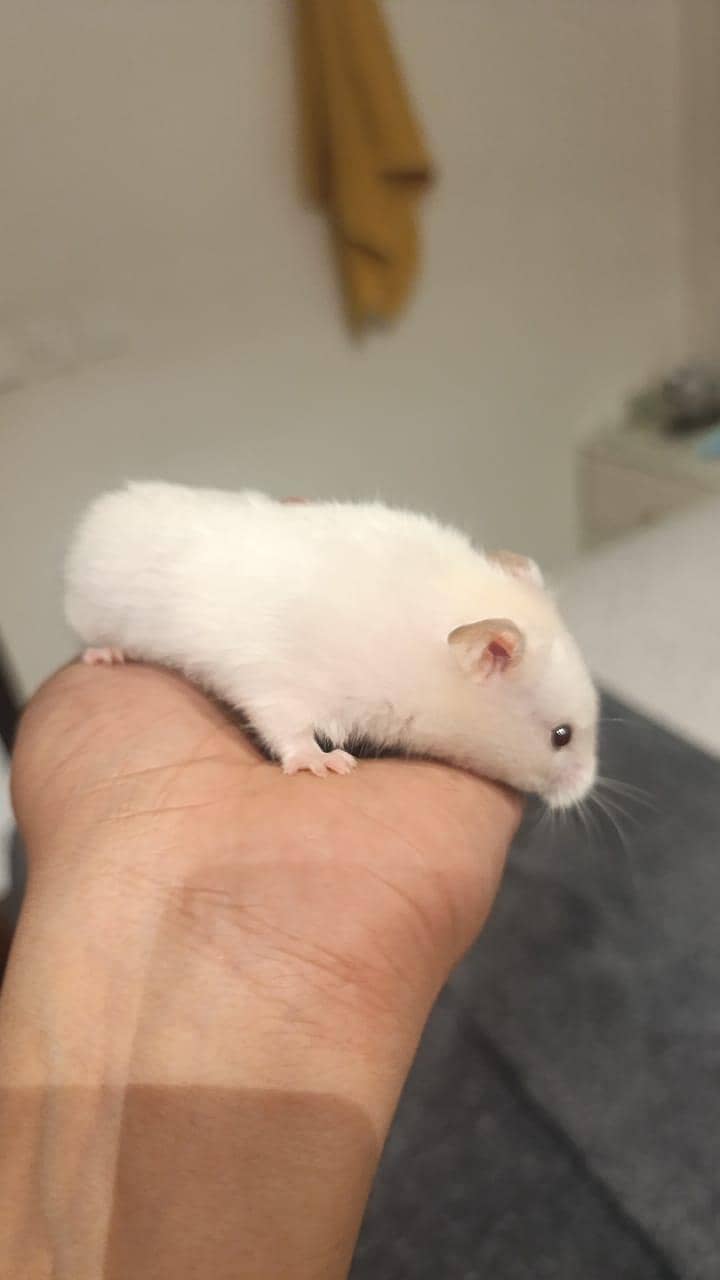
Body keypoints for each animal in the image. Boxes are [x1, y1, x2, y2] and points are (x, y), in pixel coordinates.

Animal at [64, 483, 599, 808]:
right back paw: (106, 654)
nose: (586, 791)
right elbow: (290, 728)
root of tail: (92, 519)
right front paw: (326, 765)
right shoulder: (280, 680)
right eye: (561, 735)